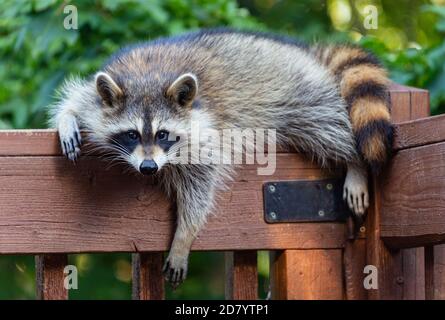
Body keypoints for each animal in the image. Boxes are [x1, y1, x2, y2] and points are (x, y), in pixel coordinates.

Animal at [48, 28, 392, 286]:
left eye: (162, 134)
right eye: (131, 134)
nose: (148, 167)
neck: (148, 76)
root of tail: (307, 52)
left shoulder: (206, 130)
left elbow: (201, 182)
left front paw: (184, 236)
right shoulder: (102, 93)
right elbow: (78, 101)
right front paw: (67, 118)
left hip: (298, 94)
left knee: (328, 127)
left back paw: (355, 161)